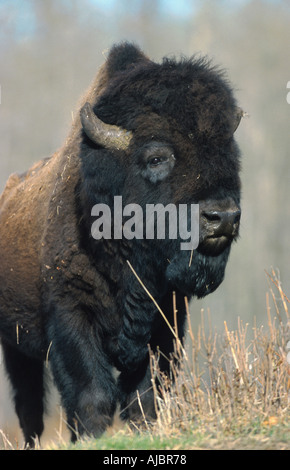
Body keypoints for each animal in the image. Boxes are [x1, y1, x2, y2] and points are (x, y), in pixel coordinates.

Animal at [0, 42, 242, 446]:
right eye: (157, 157)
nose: (222, 217)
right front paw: (92, 436)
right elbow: (92, 392)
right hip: (14, 346)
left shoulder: (165, 322)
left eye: (230, 154)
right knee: (29, 405)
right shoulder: (71, 316)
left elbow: (146, 393)